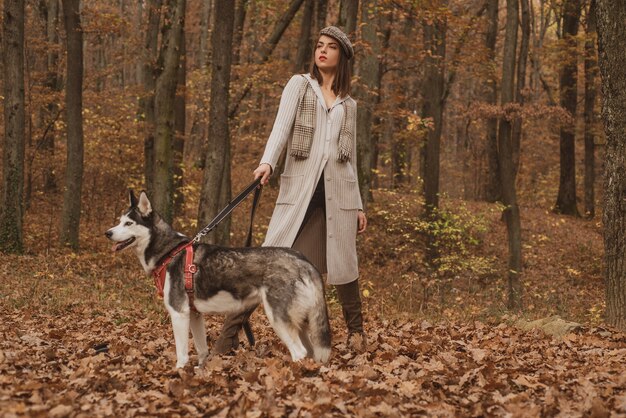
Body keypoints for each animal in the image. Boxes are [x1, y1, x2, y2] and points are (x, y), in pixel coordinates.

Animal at [106, 191, 332, 368]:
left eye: (128, 223)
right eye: (119, 221)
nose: (107, 232)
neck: (169, 252)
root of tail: (304, 261)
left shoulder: (179, 313)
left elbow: (182, 355)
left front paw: (178, 374)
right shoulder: (194, 315)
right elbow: (202, 351)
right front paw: (201, 373)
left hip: (278, 319)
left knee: (299, 352)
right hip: (302, 323)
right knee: (311, 353)